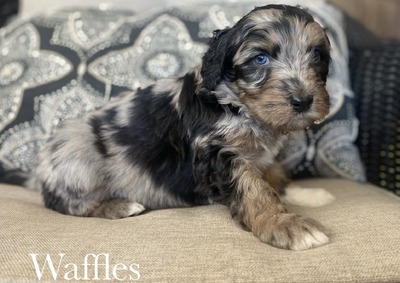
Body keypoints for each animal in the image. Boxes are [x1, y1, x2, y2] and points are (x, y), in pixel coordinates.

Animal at [29, 5, 332, 251]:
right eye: (260, 59)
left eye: (317, 56)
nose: (303, 101)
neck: (240, 106)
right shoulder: (217, 154)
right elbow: (254, 190)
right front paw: (284, 223)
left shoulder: (260, 156)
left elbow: (274, 175)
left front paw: (306, 194)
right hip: (77, 157)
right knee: (68, 203)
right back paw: (120, 206)